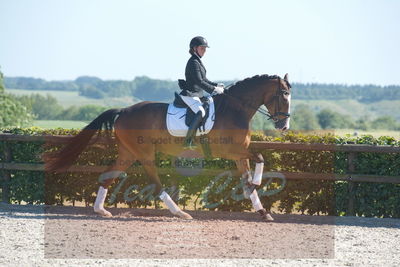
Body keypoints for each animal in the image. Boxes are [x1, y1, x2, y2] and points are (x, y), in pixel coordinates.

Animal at [46, 74, 290, 222]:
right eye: (283, 97)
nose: (284, 126)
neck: (235, 109)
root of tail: (124, 111)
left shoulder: (240, 154)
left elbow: (249, 176)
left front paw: (262, 211)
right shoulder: (229, 151)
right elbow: (260, 157)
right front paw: (257, 183)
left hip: (128, 152)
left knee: (109, 175)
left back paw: (100, 210)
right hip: (144, 152)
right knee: (155, 182)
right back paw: (179, 212)